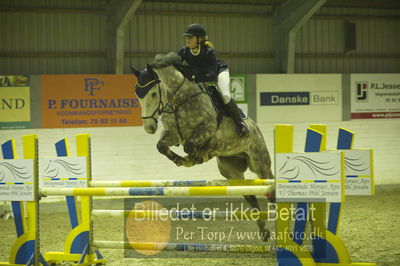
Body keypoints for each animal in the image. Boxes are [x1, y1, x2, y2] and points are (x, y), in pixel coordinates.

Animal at [131, 51, 276, 241]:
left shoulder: (207, 129)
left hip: (260, 163)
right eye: (137, 95)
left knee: (270, 187)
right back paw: (264, 231)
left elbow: (190, 146)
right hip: (231, 170)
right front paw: (182, 160)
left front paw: (195, 158)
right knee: (249, 194)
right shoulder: (173, 134)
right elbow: (161, 146)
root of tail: (255, 126)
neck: (178, 100)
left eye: (154, 94)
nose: (149, 128)